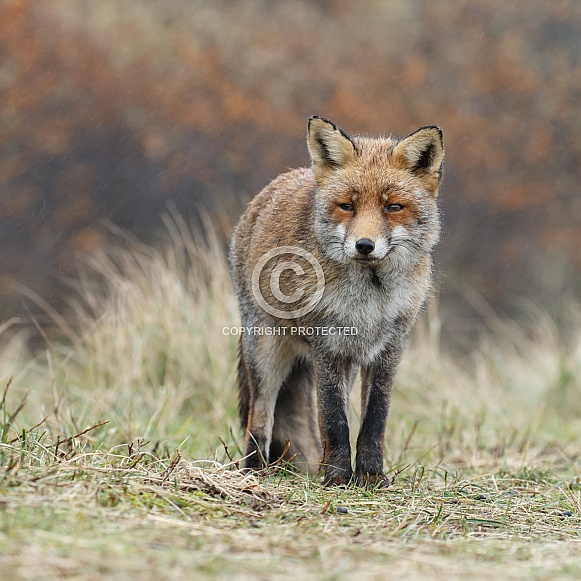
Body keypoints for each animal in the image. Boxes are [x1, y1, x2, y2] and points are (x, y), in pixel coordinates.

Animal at [229, 116, 442, 484]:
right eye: (348, 206)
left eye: (392, 207)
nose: (364, 246)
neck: (372, 298)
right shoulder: (326, 346)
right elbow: (333, 419)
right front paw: (337, 477)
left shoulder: (389, 348)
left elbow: (375, 419)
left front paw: (371, 476)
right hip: (265, 353)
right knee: (260, 416)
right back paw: (254, 472)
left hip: (347, 364)